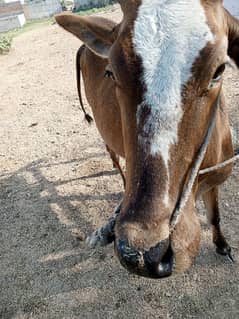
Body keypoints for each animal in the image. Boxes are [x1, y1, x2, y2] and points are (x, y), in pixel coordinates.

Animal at [55, 0, 238, 278]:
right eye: (111, 72)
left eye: (219, 69)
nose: (142, 253)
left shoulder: (214, 181)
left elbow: (215, 215)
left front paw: (222, 245)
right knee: (114, 157)